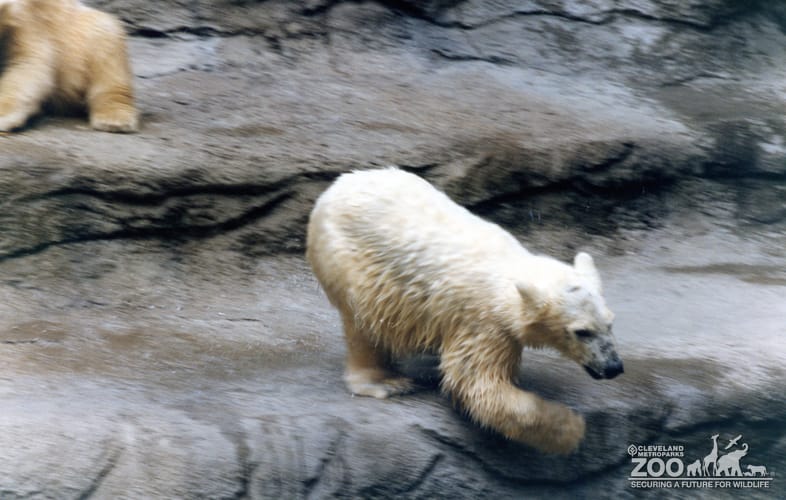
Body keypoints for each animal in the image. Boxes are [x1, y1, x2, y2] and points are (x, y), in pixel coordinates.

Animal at [0, 0, 138, 132]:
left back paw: (114, 120)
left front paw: (3, 116)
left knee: (104, 37)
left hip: (78, 34)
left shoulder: (27, 22)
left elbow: (28, 61)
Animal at [306, 168, 623, 454]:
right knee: (362, 320)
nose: (614, 367)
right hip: (347, 258)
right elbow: (477, 385)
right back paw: (384, 381)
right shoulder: (481, 320)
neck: (509, 273)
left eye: (610, 323)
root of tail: (336, 186)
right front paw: (572, 429)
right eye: (582, 332)